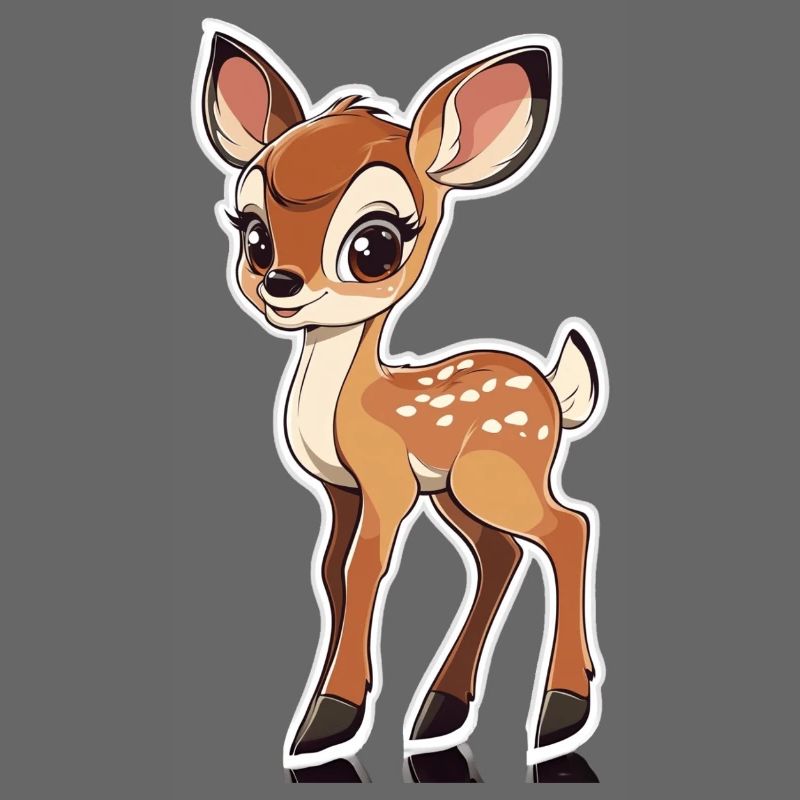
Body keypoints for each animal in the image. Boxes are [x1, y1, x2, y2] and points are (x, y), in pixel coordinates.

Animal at [192, 21, 607, 769]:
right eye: (254, 235)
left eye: (375, 246)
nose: (280, 284)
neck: (344, 406)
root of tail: (553, 391)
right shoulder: (340, 487)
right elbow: (331, 572)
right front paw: (327, 708)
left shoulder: (385, 477)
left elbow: (365, 569)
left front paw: (329, 720)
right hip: (455, 490)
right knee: (500, 554)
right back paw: (440, 713)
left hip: (497, 471)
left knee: (569, 527)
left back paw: (560, 714)